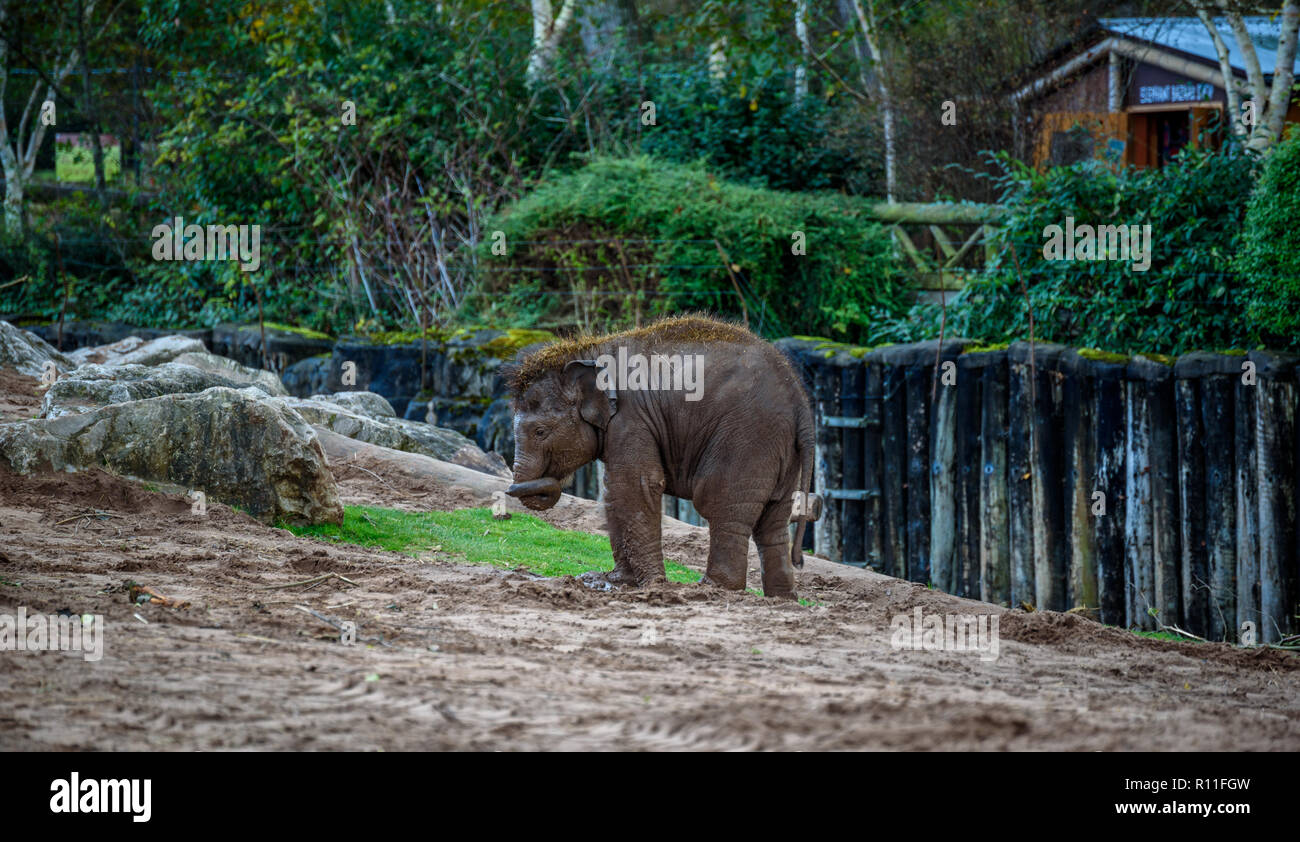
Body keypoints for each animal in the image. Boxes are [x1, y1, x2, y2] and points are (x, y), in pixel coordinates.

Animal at [504, 315, 811, 597]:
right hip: (781, 451)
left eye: (540, 432)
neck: (587, 351)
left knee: (722, 506)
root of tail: (801, 402)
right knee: (773, 522)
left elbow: (635, 486)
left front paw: (652, 585)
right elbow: (613, 490)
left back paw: (712, 588)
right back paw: (781, 598)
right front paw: (614, 581)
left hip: (746, 438)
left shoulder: (631, 419)